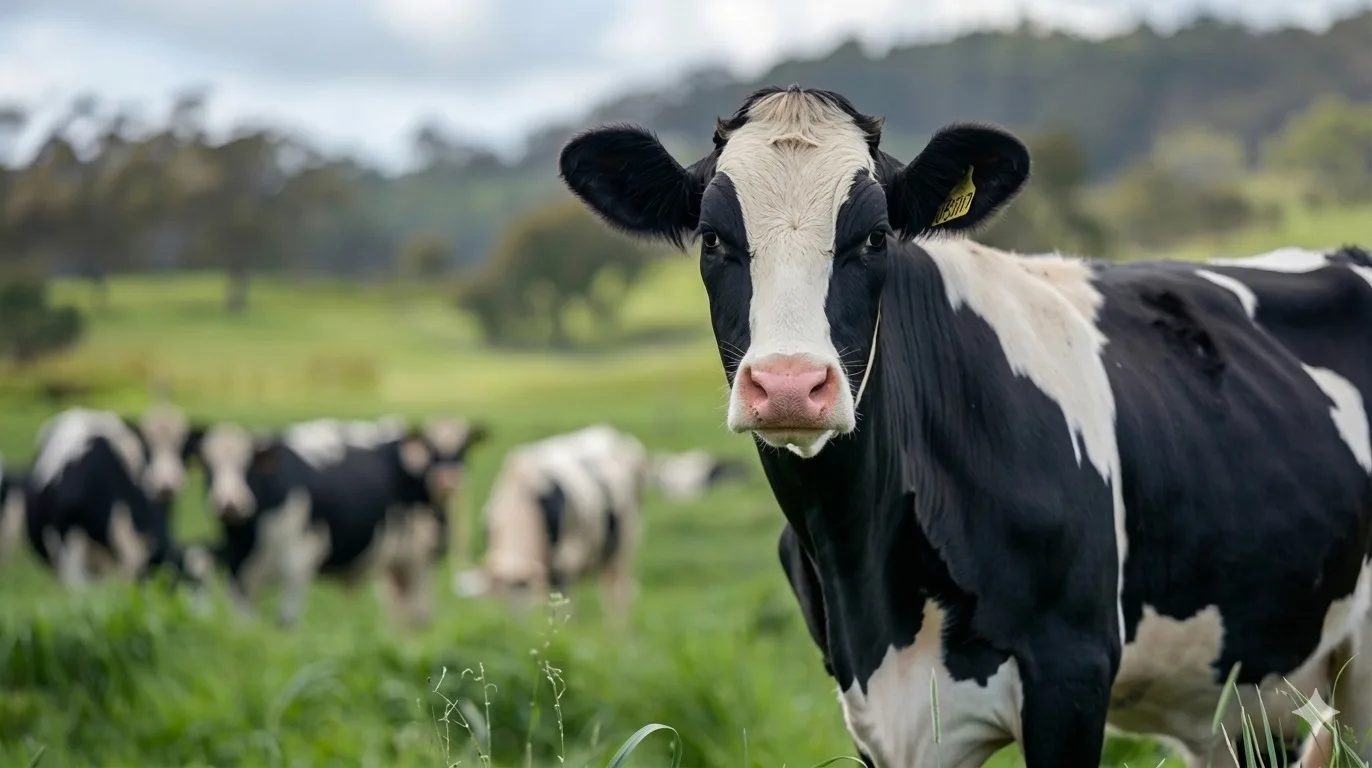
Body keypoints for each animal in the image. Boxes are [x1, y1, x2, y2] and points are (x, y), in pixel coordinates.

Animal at [197, 417, 485, 626]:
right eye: (207, 467)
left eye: (247, 466)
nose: (229, 504)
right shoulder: (237, 577)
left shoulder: (297, 563)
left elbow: (286, 623)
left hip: (418, 559)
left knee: (417, 617)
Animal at [560, 85, 1372, 767]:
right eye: (713, 239)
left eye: (875, 237)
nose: (790, 385)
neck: (867, 570)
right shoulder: (875, 709)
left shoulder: (1072, 671)